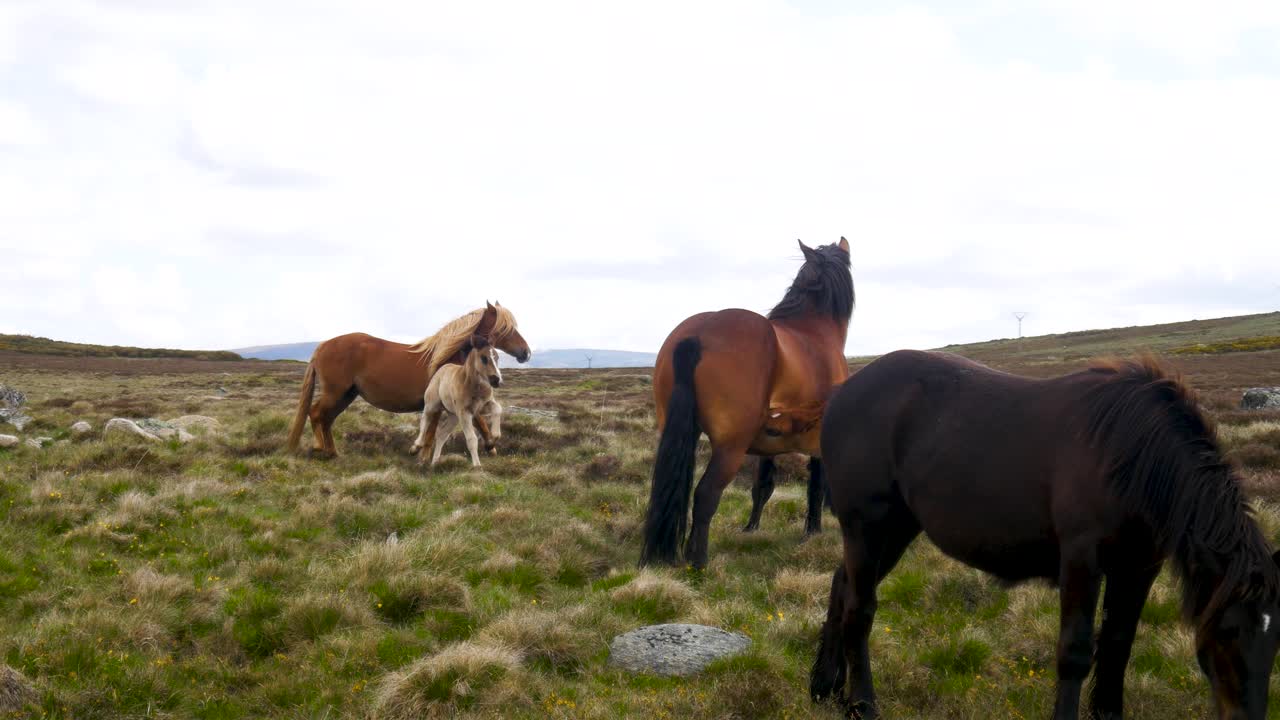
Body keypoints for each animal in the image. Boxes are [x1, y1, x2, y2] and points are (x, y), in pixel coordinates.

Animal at [411, 339, 503, 468]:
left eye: (497, 357)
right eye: (483, 357)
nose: (496, 380)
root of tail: (442, 369)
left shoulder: (482, 407)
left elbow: (498, 410)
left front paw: (491, 442)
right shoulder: (464, 412)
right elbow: (471, 439)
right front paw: (477, 466)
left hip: (453, 416)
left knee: (441, 435)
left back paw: (435, 462)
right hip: (433, 405)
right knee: (425, 419)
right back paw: (415, 447)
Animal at [641, 237, 853, 569]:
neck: (814, 332)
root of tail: (698, 333)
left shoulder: (773, 435)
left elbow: (762, 485)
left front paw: (751, 528)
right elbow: (816, 484)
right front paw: (812, 531)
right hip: (731, 446)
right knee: (706, 494)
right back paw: (698, 561)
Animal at [811, 350, 1280, 720]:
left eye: (1276, 637)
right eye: (1227, 631)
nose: (1247, 717)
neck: (1129, 454)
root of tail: (841, 394)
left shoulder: (1139, 567)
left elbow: (1118, 644)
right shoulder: (1082, 560)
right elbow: (1075, 652)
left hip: (895, 531)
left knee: (841, 586)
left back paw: (826, 688)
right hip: (867, 528)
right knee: (860, 610)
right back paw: (862, 704)